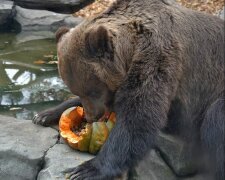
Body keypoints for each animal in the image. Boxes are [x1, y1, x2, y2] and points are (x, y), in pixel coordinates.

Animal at [32, 0, 224, 179]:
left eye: (93, 90)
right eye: (77, 90)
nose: (91, 116)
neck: (131, 48)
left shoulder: (159, 55)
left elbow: (138, 114)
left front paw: (86, 169)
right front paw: (44, 114)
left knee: (214, 121)